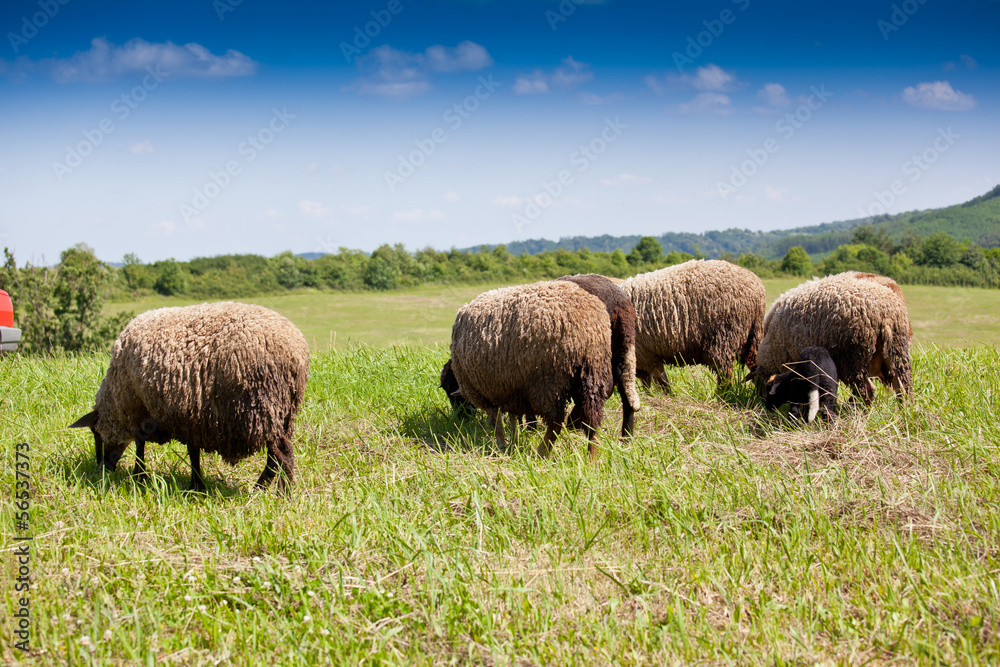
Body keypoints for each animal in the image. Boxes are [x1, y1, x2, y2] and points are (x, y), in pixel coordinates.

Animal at [69, 302, 310, 493]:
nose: (102, 468)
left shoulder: (142, 409)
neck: (117, 397)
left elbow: (140, 446)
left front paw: (140, 476)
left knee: (282, 454)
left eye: (95, 433)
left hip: (264, 407)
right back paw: (262, 489)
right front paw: (196, 485)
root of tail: (296, 352)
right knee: (274, 458)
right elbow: (193, 452)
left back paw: (281, 494)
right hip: (284, 413)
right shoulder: (191, 415)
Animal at [449, 281, 613, 459]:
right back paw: (591, 457)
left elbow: (496, 422)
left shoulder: (487, 393)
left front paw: (500, 445)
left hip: (548, 381)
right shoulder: (509, 390)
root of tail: (588, 331)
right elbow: (512, 418)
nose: (460, 417)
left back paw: (542, 453)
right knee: (592, 420)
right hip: (593, 373)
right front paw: (513, 442)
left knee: (556, 422)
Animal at [621, 259, 766, 392]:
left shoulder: (644, 354)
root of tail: (758, 290)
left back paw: (721, 396)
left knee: (725, 373)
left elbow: (659, 379)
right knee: (757, 366)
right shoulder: (645, 356)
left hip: (724, 338)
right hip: (752, 336)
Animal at [752, 271, 912, 404]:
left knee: (867, 390)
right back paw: (904, 412)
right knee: (903, 388)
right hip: (897, 353)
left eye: (766, 385)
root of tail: (886, 315)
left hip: (854, 359)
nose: (761, 401)